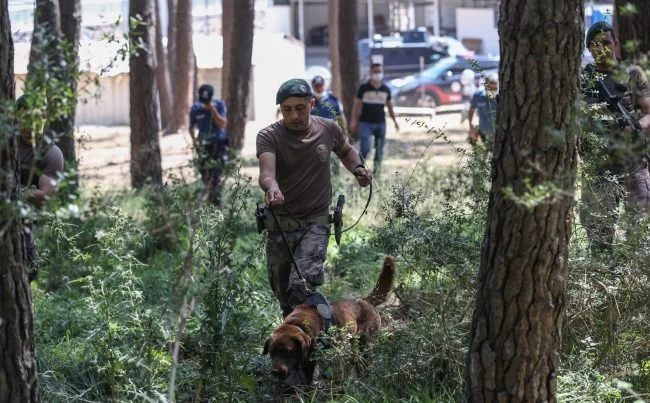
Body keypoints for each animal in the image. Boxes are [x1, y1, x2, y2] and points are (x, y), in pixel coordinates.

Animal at [260, 258, 392, 386]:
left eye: (287, 351)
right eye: (271, 353)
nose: (275, 372)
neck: (299, 324)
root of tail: (365, 300)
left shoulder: (335, 355)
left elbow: (336, 374)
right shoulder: (309, 360)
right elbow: (307, 380)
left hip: (366, 343)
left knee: (364, 362)